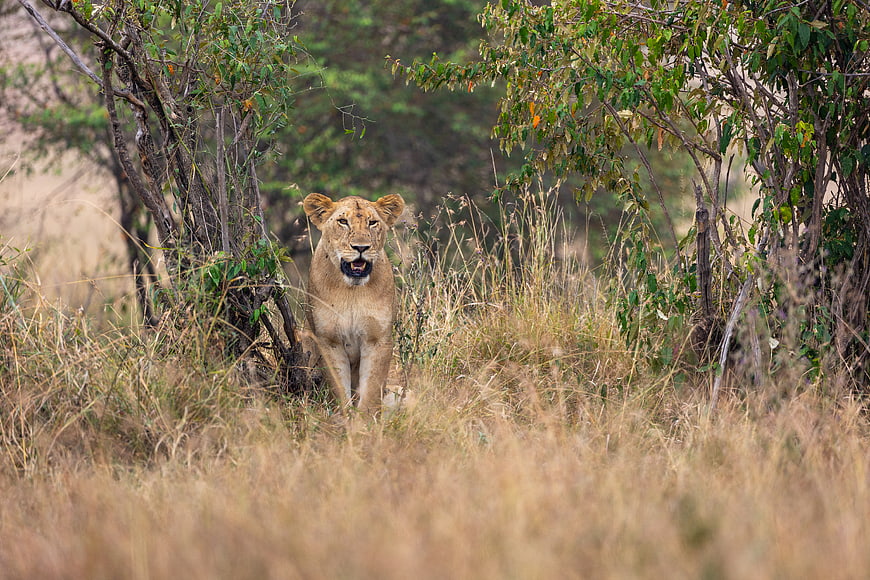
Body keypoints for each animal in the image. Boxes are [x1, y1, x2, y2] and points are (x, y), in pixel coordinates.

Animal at [302, 193, 406, 411]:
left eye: (372, 223)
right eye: (343, 222)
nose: (361, 247)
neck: (352, 291)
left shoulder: (377, 339)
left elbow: (371, 390)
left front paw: (364, 419)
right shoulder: (328, 340)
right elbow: (338, 389)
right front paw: (344, 416)